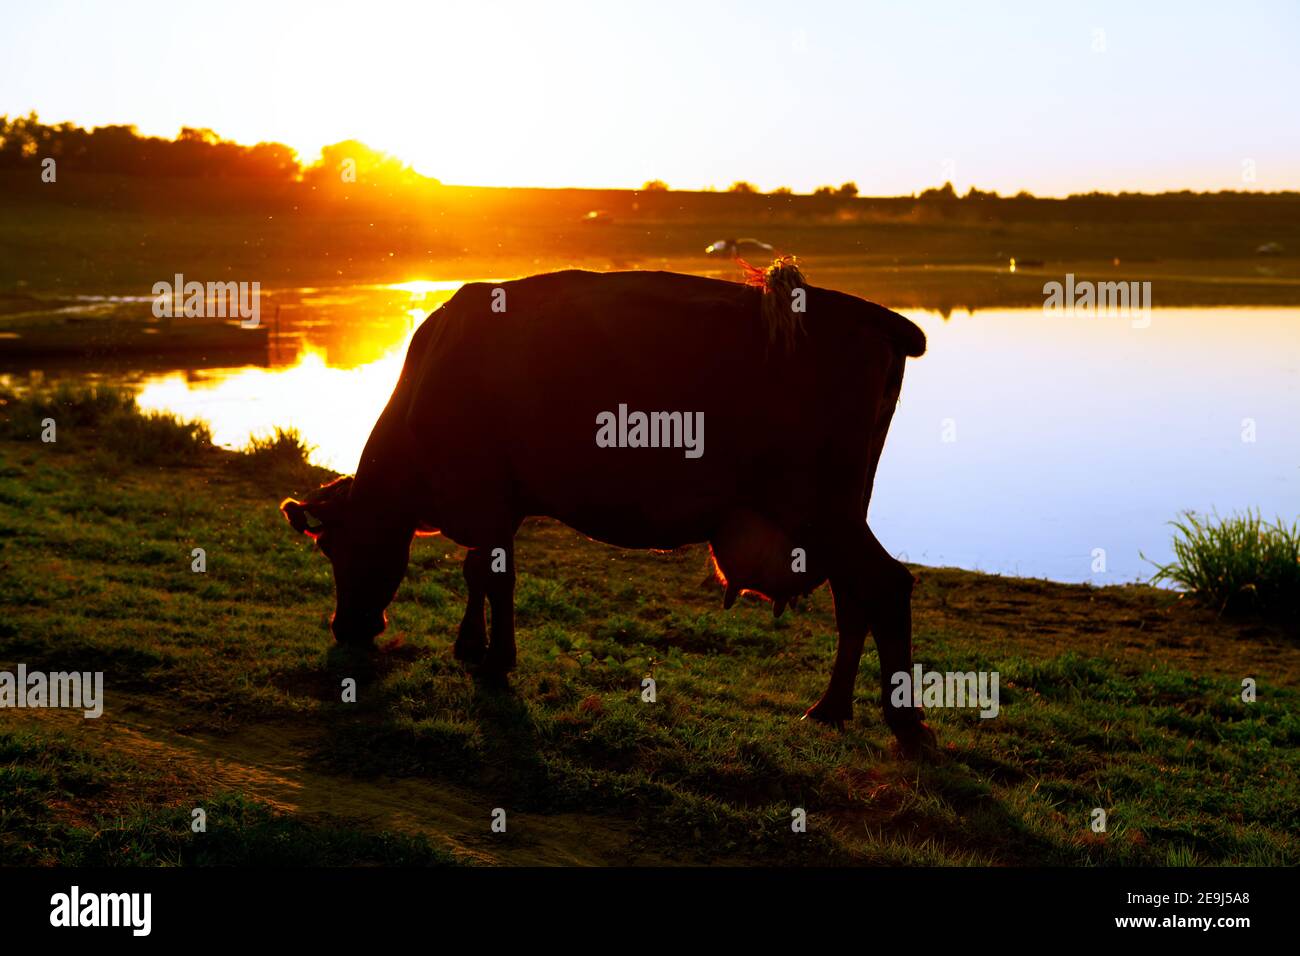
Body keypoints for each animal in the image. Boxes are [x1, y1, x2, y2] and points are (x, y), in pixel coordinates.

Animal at [281, 264, 937, 754]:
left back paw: (901, 723)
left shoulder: (486, 494)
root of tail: (870, 315)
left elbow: (493, 575)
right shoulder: (498, 503)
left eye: (336, 548)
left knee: (886, 586)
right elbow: (477, 572)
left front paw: (494, 662)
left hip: (821, 507)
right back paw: (831, 708)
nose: (346, 628)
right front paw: (471, 647)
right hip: (836, 512)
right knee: (855, 599)